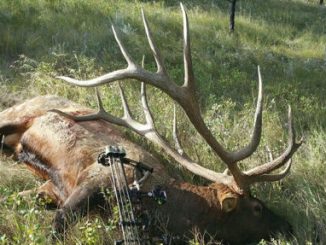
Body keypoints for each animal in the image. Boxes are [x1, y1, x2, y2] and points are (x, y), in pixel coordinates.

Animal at [0, 3, 304, 245]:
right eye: (257, 207)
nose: (289, 226)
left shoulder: (51, 189)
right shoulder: (93, 179)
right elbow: (58, 225)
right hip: (16, 114)